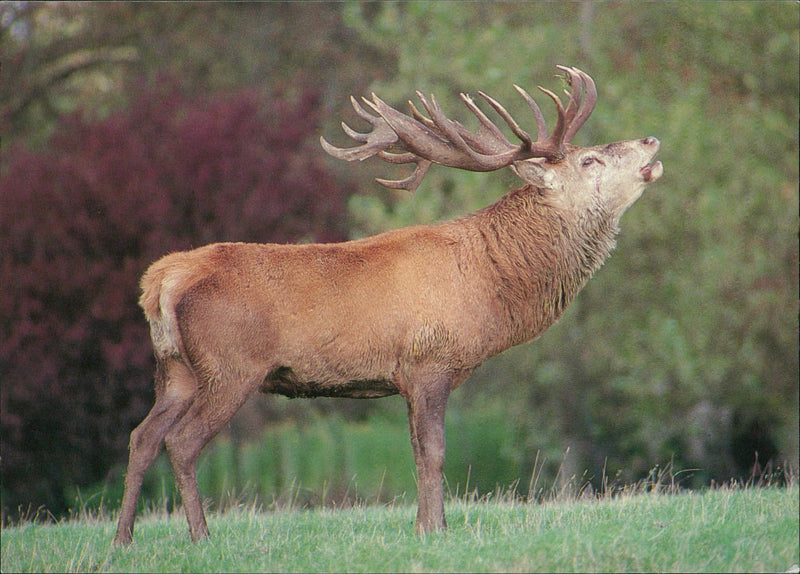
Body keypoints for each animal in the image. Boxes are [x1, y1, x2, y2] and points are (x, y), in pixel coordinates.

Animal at [112, 65, 664, 548]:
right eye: (589, 161)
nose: (651, 142)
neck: (489, 285)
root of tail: (161, 279)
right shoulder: (430, 361)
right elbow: (435, 452)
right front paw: (435, 531)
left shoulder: (405, 376)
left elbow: (417, 451)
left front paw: (426, 527)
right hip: (231, 365)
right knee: (182, 442)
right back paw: (201, 537)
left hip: (176, 369)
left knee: (142, 437)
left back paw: (123, 540)